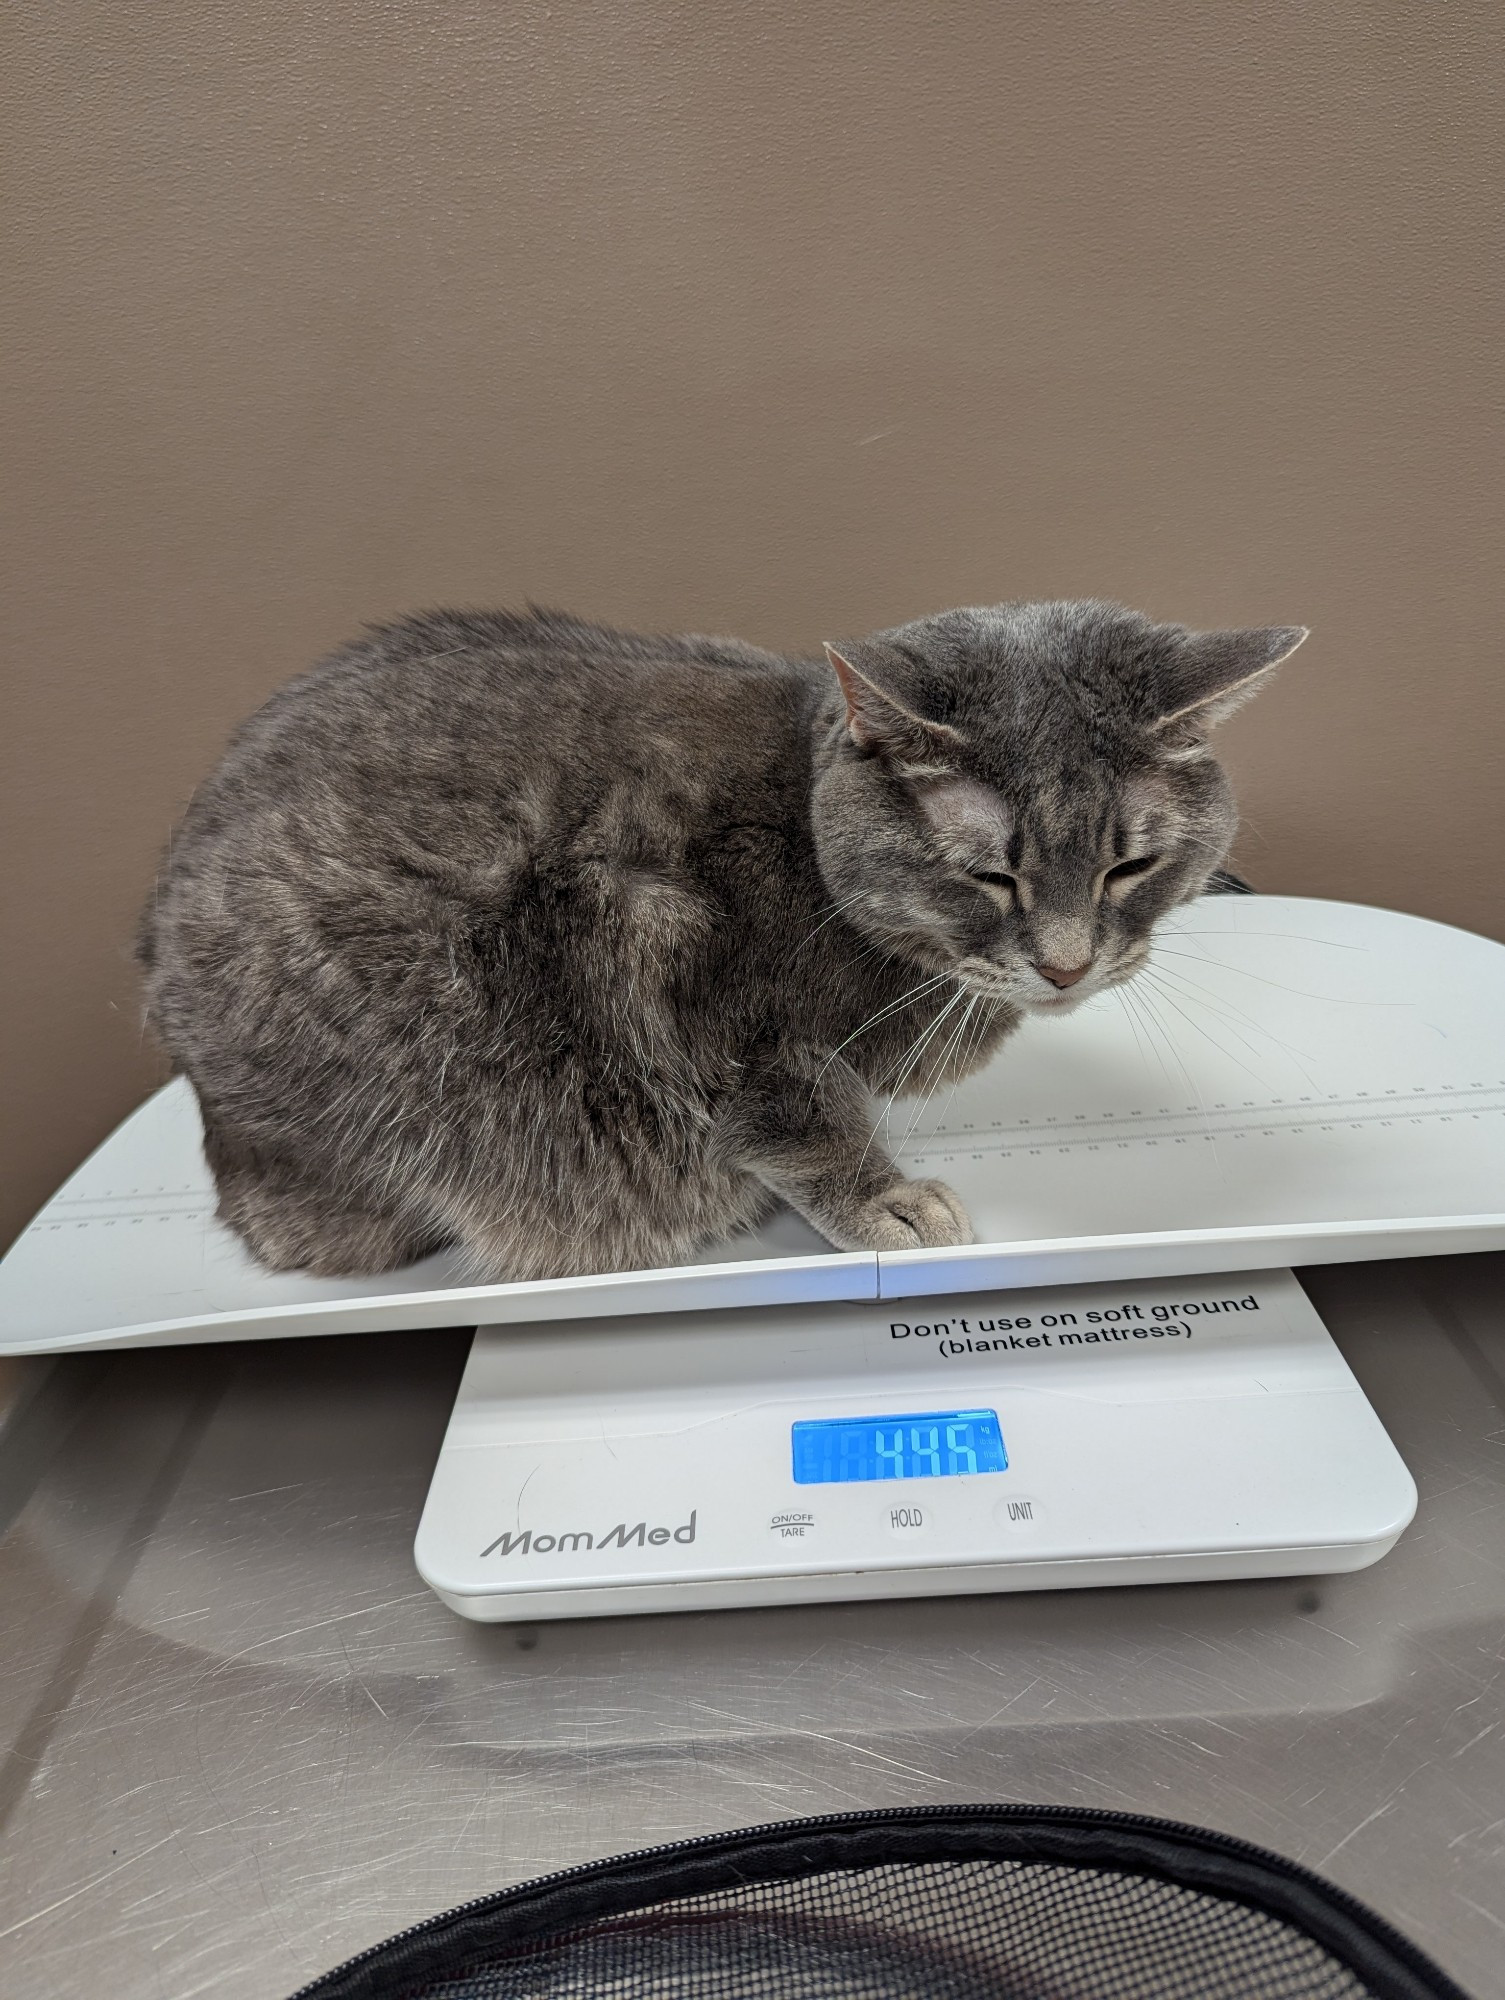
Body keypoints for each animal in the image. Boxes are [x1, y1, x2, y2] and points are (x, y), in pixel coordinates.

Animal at [135, 596, 1296, 1280]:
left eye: (1126, 867)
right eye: (989, 875)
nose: (1064, 962)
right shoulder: (710, 1006)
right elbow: (807, 1125)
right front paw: (885, 1202)